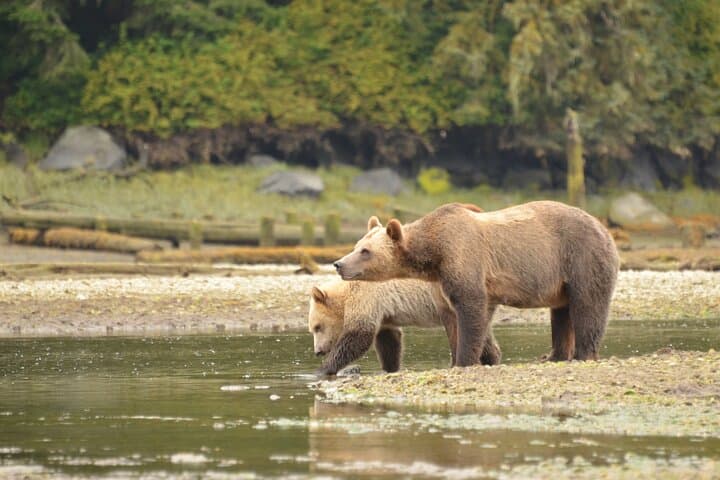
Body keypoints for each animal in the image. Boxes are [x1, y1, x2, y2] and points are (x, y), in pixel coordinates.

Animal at [309, 278, 502, 376]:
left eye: (318, 327)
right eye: (313, 329)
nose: (318, 351)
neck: (345, 296)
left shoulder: (367, 298)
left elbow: (358, 336)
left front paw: (323, 369)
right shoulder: (384, 314)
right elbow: (389, 340)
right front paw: (390, 368)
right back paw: (491, 359)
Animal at [333, 201, 620, 366]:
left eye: (366, 251)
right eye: (357, 245)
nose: (339, 264)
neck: (433, 254)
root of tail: (604, 227)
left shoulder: (463, 258)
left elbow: (471, 309)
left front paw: (464, 360)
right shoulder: (441, 283)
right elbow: (452, 317)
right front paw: (456, 359)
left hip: (580, 256)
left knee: (587, 306)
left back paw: (583, 353)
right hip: (559, 280)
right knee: (561, 312)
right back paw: (555, 355)